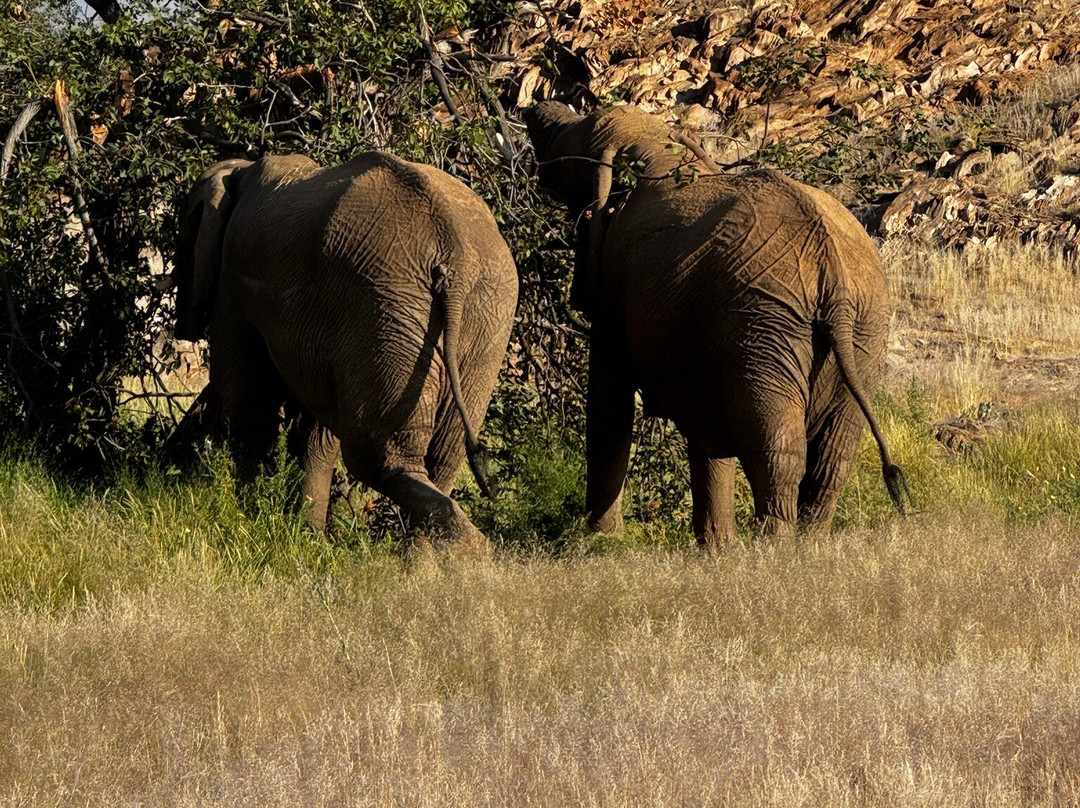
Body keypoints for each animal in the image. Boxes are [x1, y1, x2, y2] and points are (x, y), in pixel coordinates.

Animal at [170, 151, 518, 548]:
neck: (240, 171)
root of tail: (455, 258)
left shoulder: (235, 281)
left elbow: (244, 406)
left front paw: (245, 521)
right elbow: (316, 434)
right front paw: (307, 537)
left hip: (386, 303)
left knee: (375, 453)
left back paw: (466, 549)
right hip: (483, 318)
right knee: (443, 457)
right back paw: (434, 557)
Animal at [524, 101, 906, 547]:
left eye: (575, 140)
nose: (533, 109)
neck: (656, 145)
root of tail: (831, 266)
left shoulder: (614, 282)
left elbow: (608, 400)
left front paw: (600, 542)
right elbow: (705, 426)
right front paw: (718, 550)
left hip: (767, 321)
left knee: (776, 447)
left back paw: (774, 547)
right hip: (863, 328)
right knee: (833, 457)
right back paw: (810, 545)